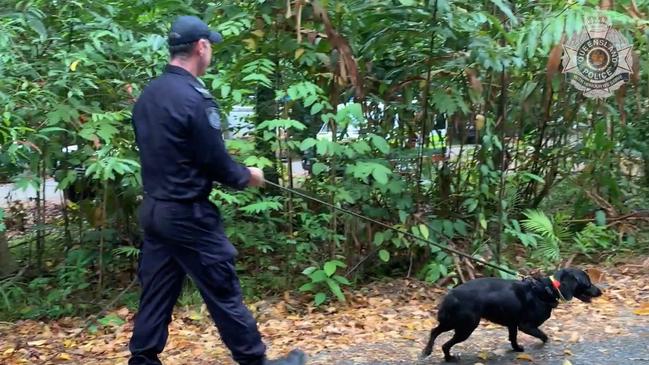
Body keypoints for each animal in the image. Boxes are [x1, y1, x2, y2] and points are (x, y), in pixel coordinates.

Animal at [422, 268, 600, 362]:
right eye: (588, 283)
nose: (601, 291)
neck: (547, 289)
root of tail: (451, 294)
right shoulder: (526, 326)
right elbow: (544, 336)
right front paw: (541, 345)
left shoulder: (513, 323)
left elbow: (513, 338)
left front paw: (516, 349)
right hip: (466, 326)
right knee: (445, 344)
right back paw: (449, 358)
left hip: (454, 322)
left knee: (434, 331)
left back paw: (427, 350)